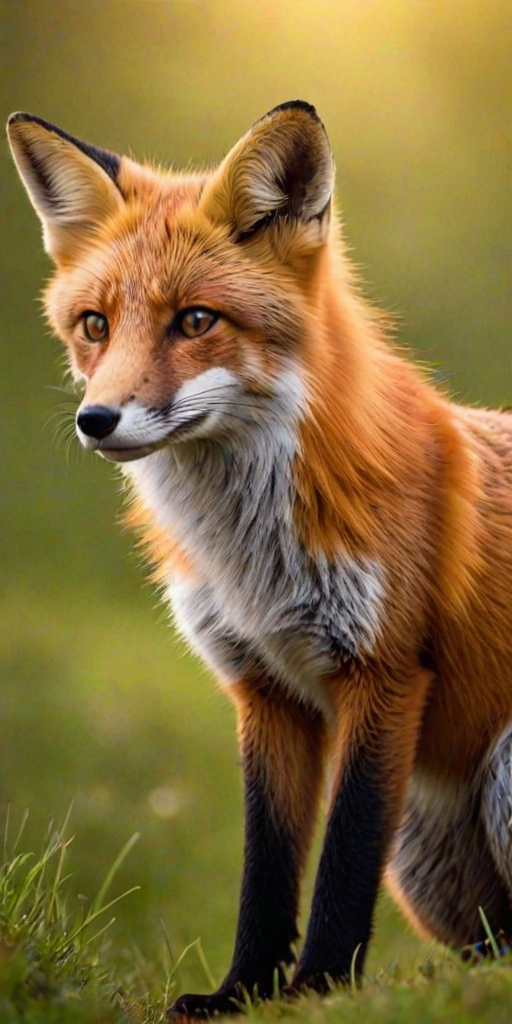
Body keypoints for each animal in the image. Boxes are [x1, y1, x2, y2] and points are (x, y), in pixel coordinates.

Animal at [6, 100, 512, 1021]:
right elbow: (267, 865)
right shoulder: (262, 685)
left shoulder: (384, 671)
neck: (252, 561)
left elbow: (343, 854)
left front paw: (320, 986)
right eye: (95, 325)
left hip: (497, 776)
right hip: (425, 851)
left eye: (196, 320)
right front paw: (243, 992)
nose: (97, 419)